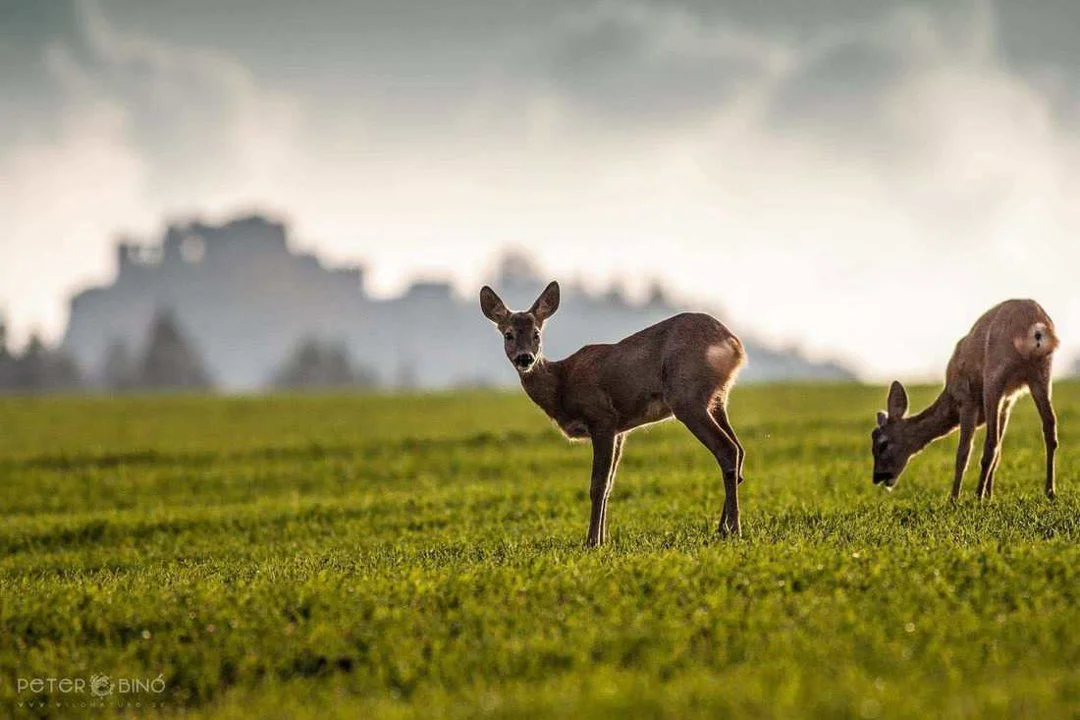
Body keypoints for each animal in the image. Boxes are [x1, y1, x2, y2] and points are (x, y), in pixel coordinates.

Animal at [480, 281, 747, 546]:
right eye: (508, 334)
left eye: (536, 333)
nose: (525, 358)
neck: (561, 385)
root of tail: (734, 344)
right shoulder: (620, 429)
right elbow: (609, 484)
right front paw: (603, 538)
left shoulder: (602, 417)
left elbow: (597, 485)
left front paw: (591, 542)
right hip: (717, 399)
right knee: (739, 449)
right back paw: (722, 528)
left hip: (687, 397)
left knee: (727, 449)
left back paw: (734, 529)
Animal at [871, 299, 1059, 501]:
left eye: (882, 444)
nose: (877, 477)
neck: (951, 400)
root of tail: (1036, 326)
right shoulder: (1008, 402)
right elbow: (999, 451)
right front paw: (990, 494)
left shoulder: (967, 398)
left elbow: (963, 452)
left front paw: (954, 499)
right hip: (1041, 372)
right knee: (1049, 427)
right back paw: (1049, 491)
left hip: (994, 375)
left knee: (991, 444)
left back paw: (977, 497)